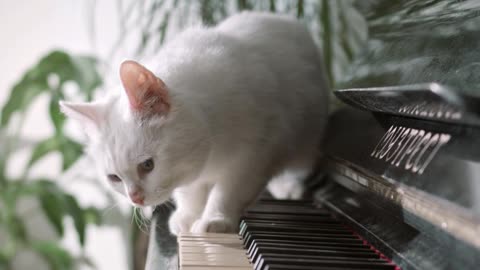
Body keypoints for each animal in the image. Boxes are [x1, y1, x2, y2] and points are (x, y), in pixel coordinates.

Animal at [60, 12, 328, 234]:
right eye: (114, 178)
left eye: (147, 165)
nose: (135, 198)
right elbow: (190, 191)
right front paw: (188, 216)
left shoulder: (258, 151)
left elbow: (230, 189)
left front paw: (216, 219)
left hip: (304, 140)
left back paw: (290, 186)